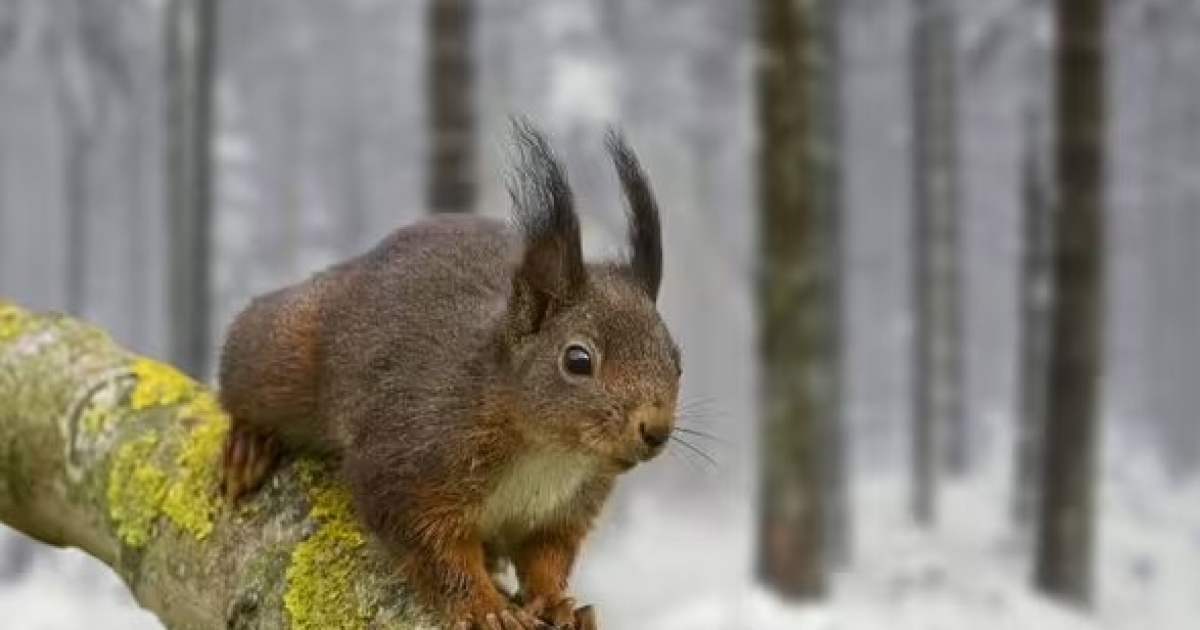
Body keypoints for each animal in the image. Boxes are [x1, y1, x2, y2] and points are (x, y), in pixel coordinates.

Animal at [218, 119, 686, 628]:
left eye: (677, 359)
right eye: (577, 360)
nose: (656, 429)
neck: (549, 453)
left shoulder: (562, 512)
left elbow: (547, 558)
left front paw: (559, 603)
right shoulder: (410, 459)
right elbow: (433, 548)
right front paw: (485, 606)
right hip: (284, 353)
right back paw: (248, 443)